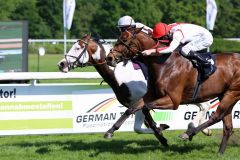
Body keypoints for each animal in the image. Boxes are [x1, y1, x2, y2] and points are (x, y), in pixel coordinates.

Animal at [106, 27, 240, 154]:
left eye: (125, 40)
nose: (109, 58)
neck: (164, 64)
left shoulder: (173, 100)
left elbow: (145, 107)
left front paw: (160, 130)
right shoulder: (151, 95)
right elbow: (131, 108)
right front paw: (110, 131)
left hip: (231, 93)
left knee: (217, 116)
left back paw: (189, 132)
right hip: (226, 95)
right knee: (227, 126)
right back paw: (220, 152)